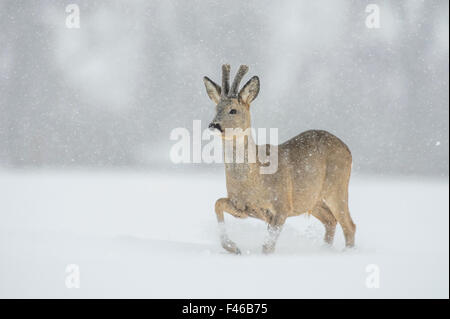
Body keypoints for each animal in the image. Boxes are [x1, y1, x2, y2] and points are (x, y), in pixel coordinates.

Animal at [203, 64, 356, 255]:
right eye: (216, 108)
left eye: (233, 110)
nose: (213, 125)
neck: (253, 178)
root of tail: (347, 148)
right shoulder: (242, 206)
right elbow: (217, 203)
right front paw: (233, 247)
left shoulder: (282, 205)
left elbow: (267, 247)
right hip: (312, 200)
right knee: (330, 220)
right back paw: (324, 250)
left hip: (337, 188)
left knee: (349, 224)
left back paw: (346, 252)